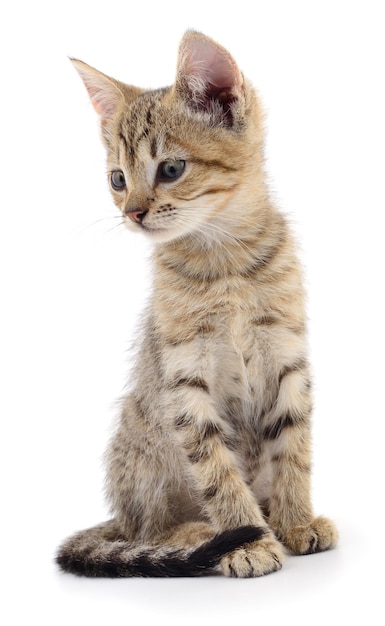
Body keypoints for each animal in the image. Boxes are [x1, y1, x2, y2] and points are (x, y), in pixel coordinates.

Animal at [56, 29, 336, 576]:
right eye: (118, 179)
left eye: (170, 168)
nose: (133, 212)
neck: (225, 261)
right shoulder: (184, 380)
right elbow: (216, 469)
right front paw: (247, 539)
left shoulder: (287, 355)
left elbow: (294, 446)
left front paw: (295, 520)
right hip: (142, 446)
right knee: (148, 531)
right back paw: (195, 534)